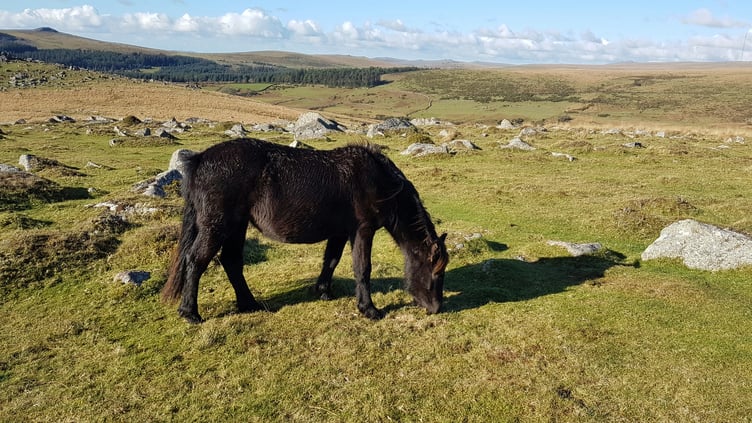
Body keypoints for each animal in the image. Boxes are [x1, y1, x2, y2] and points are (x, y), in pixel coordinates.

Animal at [162, 138, 449, 323]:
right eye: (435, 272)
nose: (435, 308)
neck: (378, 181)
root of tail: (200, 159)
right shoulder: (363, 230)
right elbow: (362, 268)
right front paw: (369, 310)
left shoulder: (340, 232)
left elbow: (331, 260)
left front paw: (323, 291)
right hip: (217, 225)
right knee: (196, 260)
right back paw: (190, 313)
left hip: (237, 225)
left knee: (231, 261)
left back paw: (250, 304)